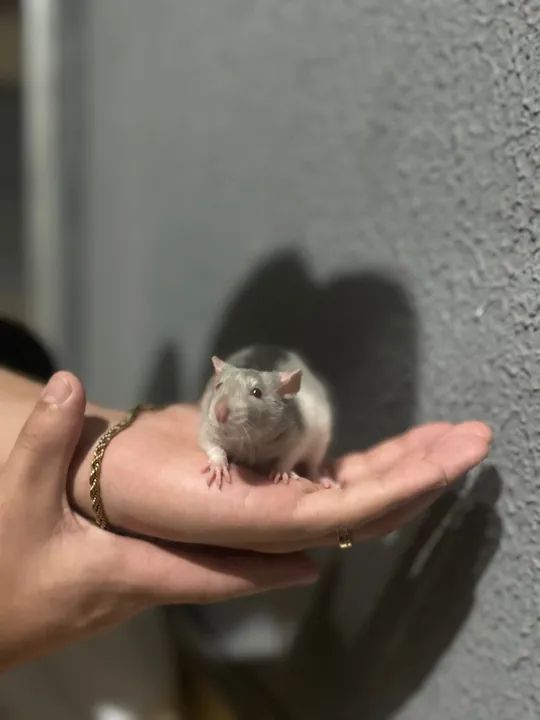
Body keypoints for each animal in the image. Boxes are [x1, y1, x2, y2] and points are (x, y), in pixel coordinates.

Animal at [199, 344, 333, 488]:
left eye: (256, 392)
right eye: (218, 386)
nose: (220, 413)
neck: (250, 440)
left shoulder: (297, 431)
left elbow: (292, 454)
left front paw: (280, 471)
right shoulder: (209, 426)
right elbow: (208, 442)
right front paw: (218, 464)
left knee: (313, 464)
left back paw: (321, 478)